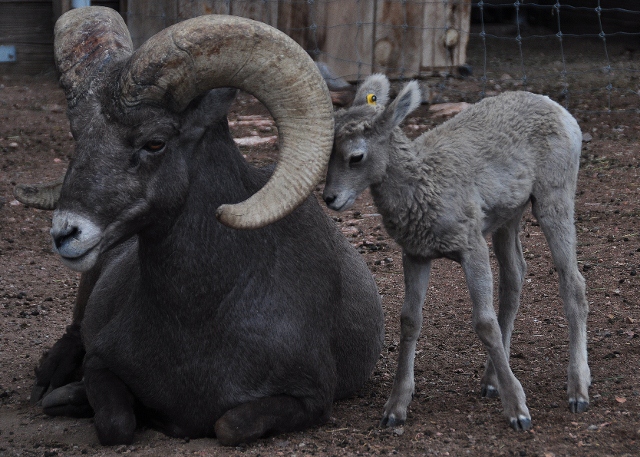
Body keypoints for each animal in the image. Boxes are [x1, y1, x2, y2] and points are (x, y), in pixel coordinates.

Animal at [27, 7, 382, 446]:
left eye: (155, 142)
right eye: (78, 135)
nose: (66, 233)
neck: (202, 316)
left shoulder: (311, 399)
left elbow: (230, 425)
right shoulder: (102, 363)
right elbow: (116, 424)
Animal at [324, 75, 592, 432]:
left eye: (356, 156)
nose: (330, 198)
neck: (425, 186)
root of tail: (560, 110)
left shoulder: (471, 244)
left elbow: (484, 323)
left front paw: (518, 411)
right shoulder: (415, 254)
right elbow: (410, 321)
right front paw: (395, 409)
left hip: (555, 195)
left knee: (573, 282)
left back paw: (578, 390)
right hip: (509, 215)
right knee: (514, 278)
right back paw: (491, 380)